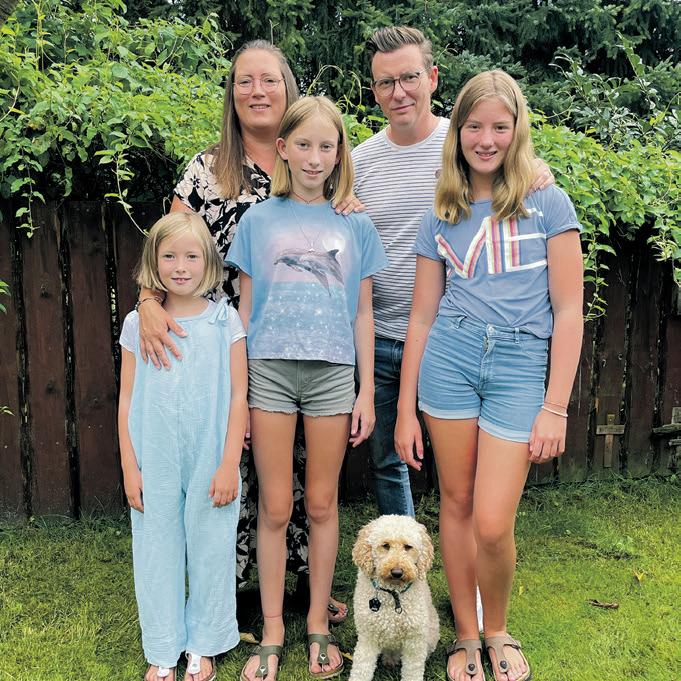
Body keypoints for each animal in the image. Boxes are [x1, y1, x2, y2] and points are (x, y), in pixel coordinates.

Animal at [348, 515, 440, 681]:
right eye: (385, 546)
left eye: (408, 547)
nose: (397, 572)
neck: (393, 594)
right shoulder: (368, 637)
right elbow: (361, 669)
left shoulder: (415, 641)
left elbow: (412, 672)